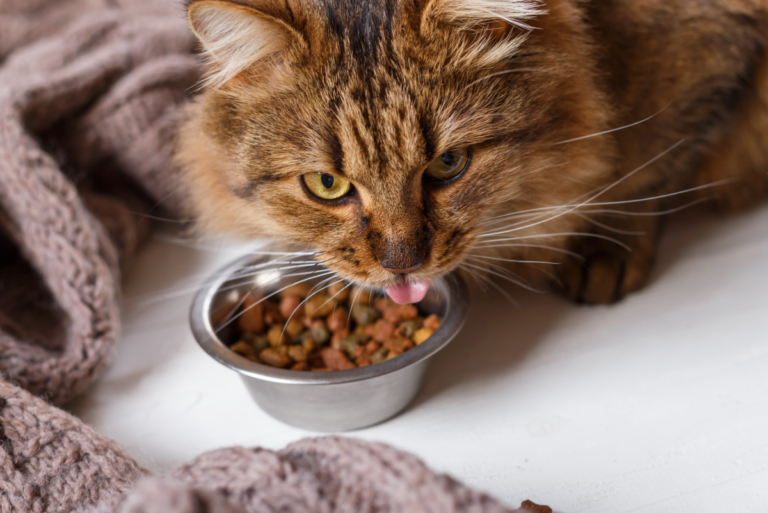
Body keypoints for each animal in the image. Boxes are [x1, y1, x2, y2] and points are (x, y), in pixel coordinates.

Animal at [176, 0, 768, 304]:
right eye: (327, 185)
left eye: (448, 164)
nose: (402, 267)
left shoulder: (712, 44)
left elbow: (655, 169)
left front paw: (606, 247)